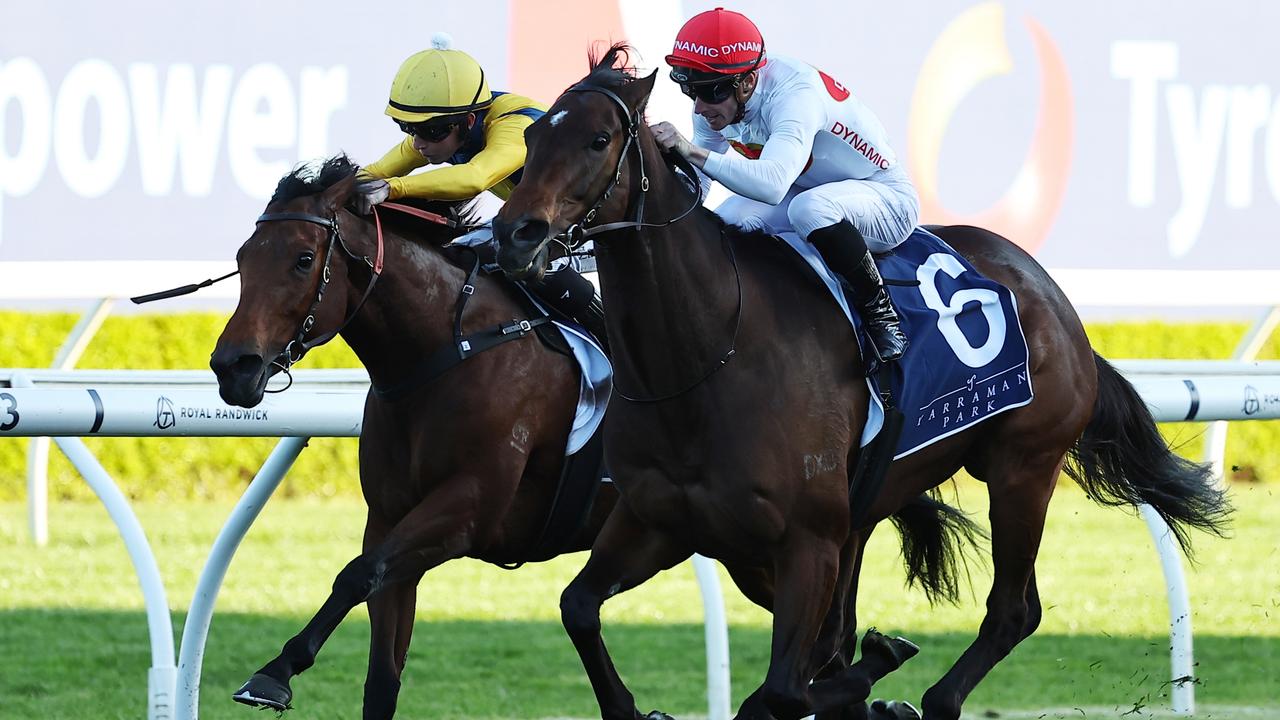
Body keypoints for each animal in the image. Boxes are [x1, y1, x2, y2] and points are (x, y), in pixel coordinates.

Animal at [207, 154, 967, 712]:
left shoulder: (467, 511)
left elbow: (357, 572)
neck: (446, 353)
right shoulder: (393, 519)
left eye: (302, 259)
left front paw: (274, 672)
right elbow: (380, 658)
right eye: (243, 256)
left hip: (777, 544)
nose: (232, 366)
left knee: (825, 653)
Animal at [491, 46, 1228, 717]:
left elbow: (782, 691)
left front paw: (880, 671)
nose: (514, 232)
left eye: (598, 139)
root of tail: (1053, 297)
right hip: (873, 506)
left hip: (1023, 465)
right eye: (530, 136)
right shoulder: (657, 520)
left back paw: (930, 696)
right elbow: (578, 608)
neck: (702, 363)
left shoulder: (807, 541)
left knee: (1012, 611)